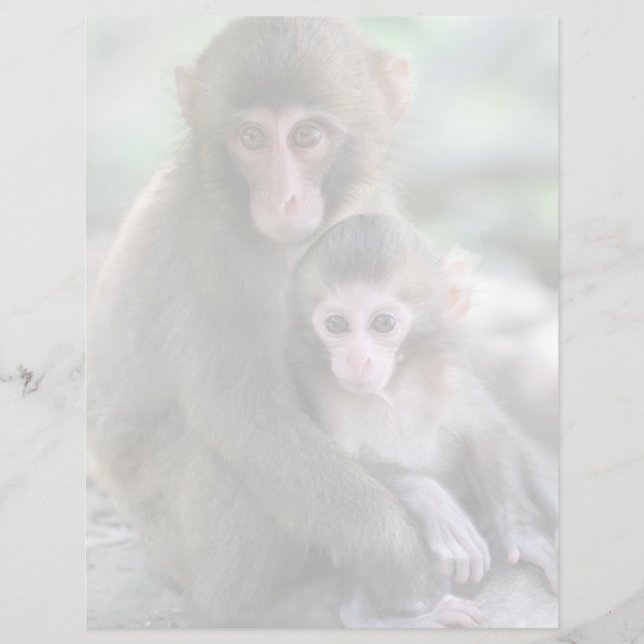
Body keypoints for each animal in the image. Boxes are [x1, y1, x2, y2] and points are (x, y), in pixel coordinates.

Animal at [87, 17, 480, 627]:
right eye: (251, 139)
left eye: (306, 136)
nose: (282, 198)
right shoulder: (211, 249)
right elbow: (245, 414)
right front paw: (404, 568)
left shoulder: (372, 207)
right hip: (170, 539)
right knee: (223, 456)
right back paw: (256, 610)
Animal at [287, 213, 559, 626]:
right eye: (336, 325)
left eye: (383, 323)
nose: (358, 359)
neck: (392, 390)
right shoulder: (317, 387)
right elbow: (332, 465)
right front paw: (431, 499)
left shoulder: (450, 374)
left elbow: (487, 434)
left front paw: (525, 536)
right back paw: (378, 618)